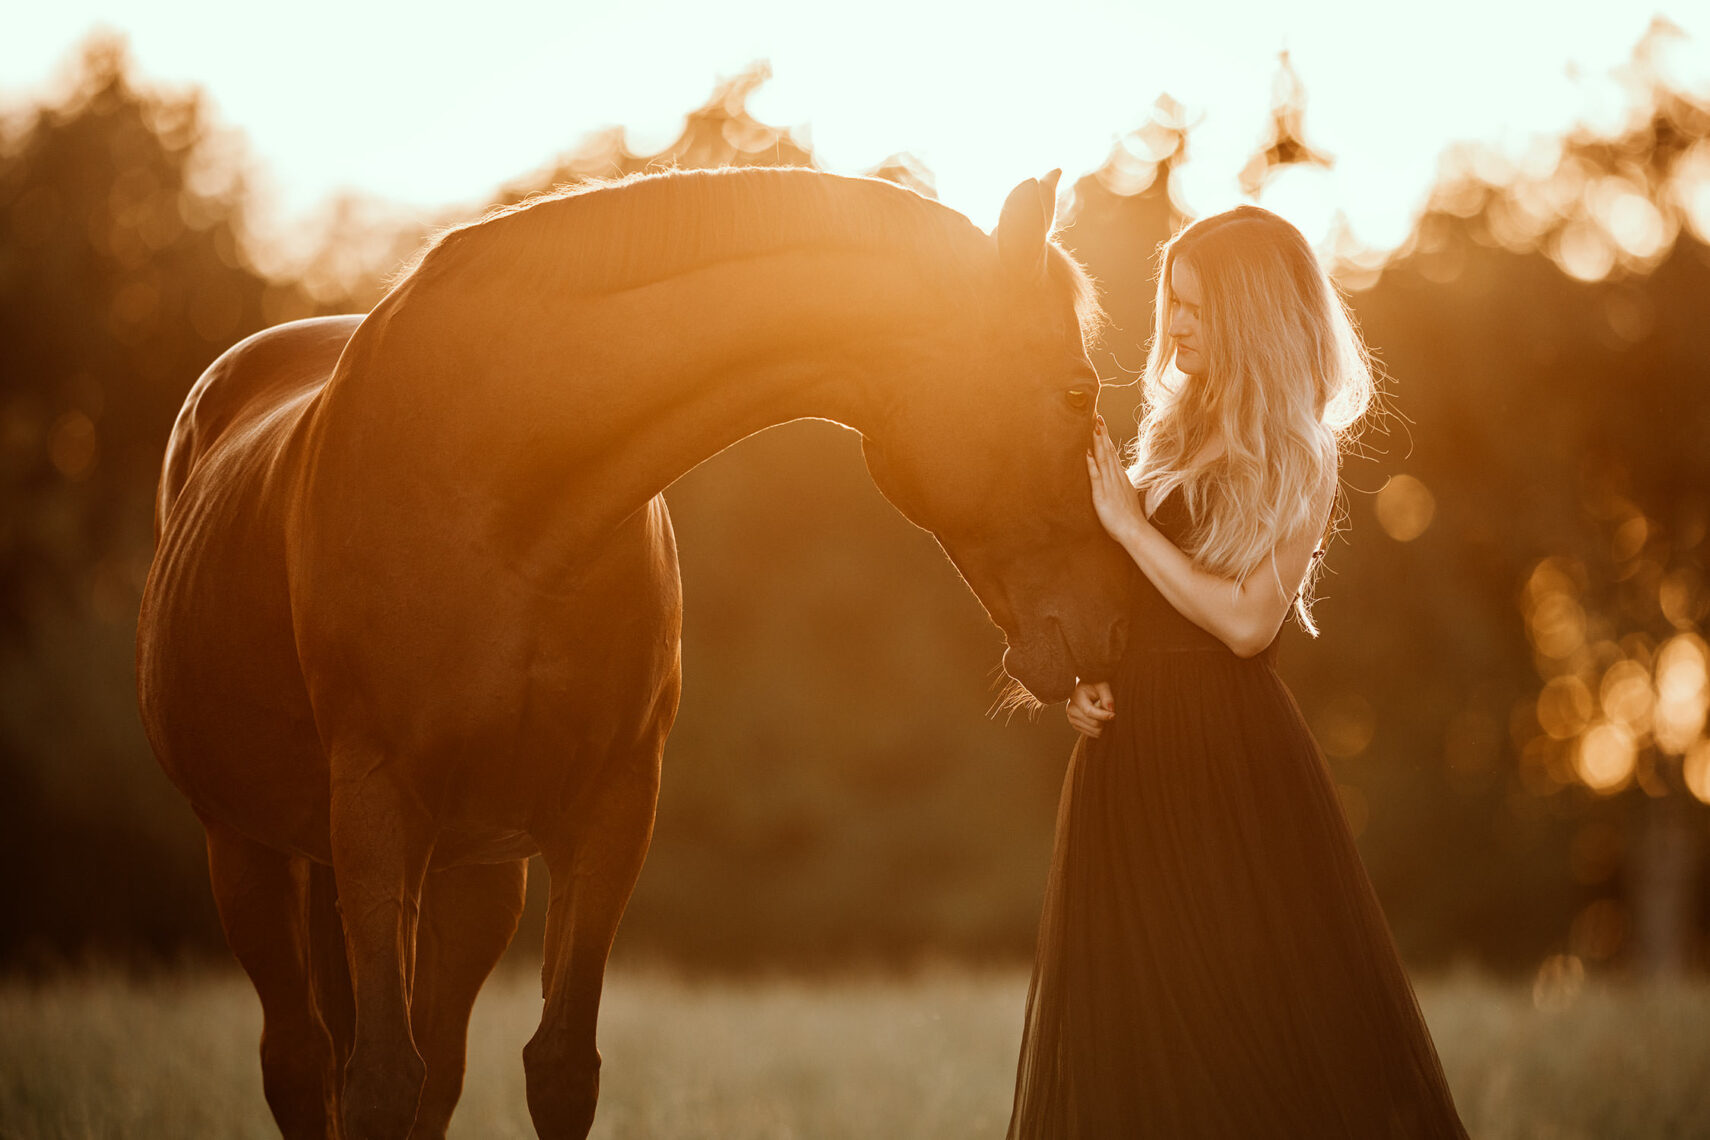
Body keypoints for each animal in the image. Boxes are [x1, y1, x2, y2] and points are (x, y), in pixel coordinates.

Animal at [136, 165, 1134, 1139]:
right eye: (1078, 393)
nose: (1118, 621)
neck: (507, 482)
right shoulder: (379, 806)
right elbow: (380, 1082)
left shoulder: (611, 809)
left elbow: (556, 1069)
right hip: (250, 851)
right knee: (303, 1064)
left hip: (471, 874)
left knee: (432, 1068)